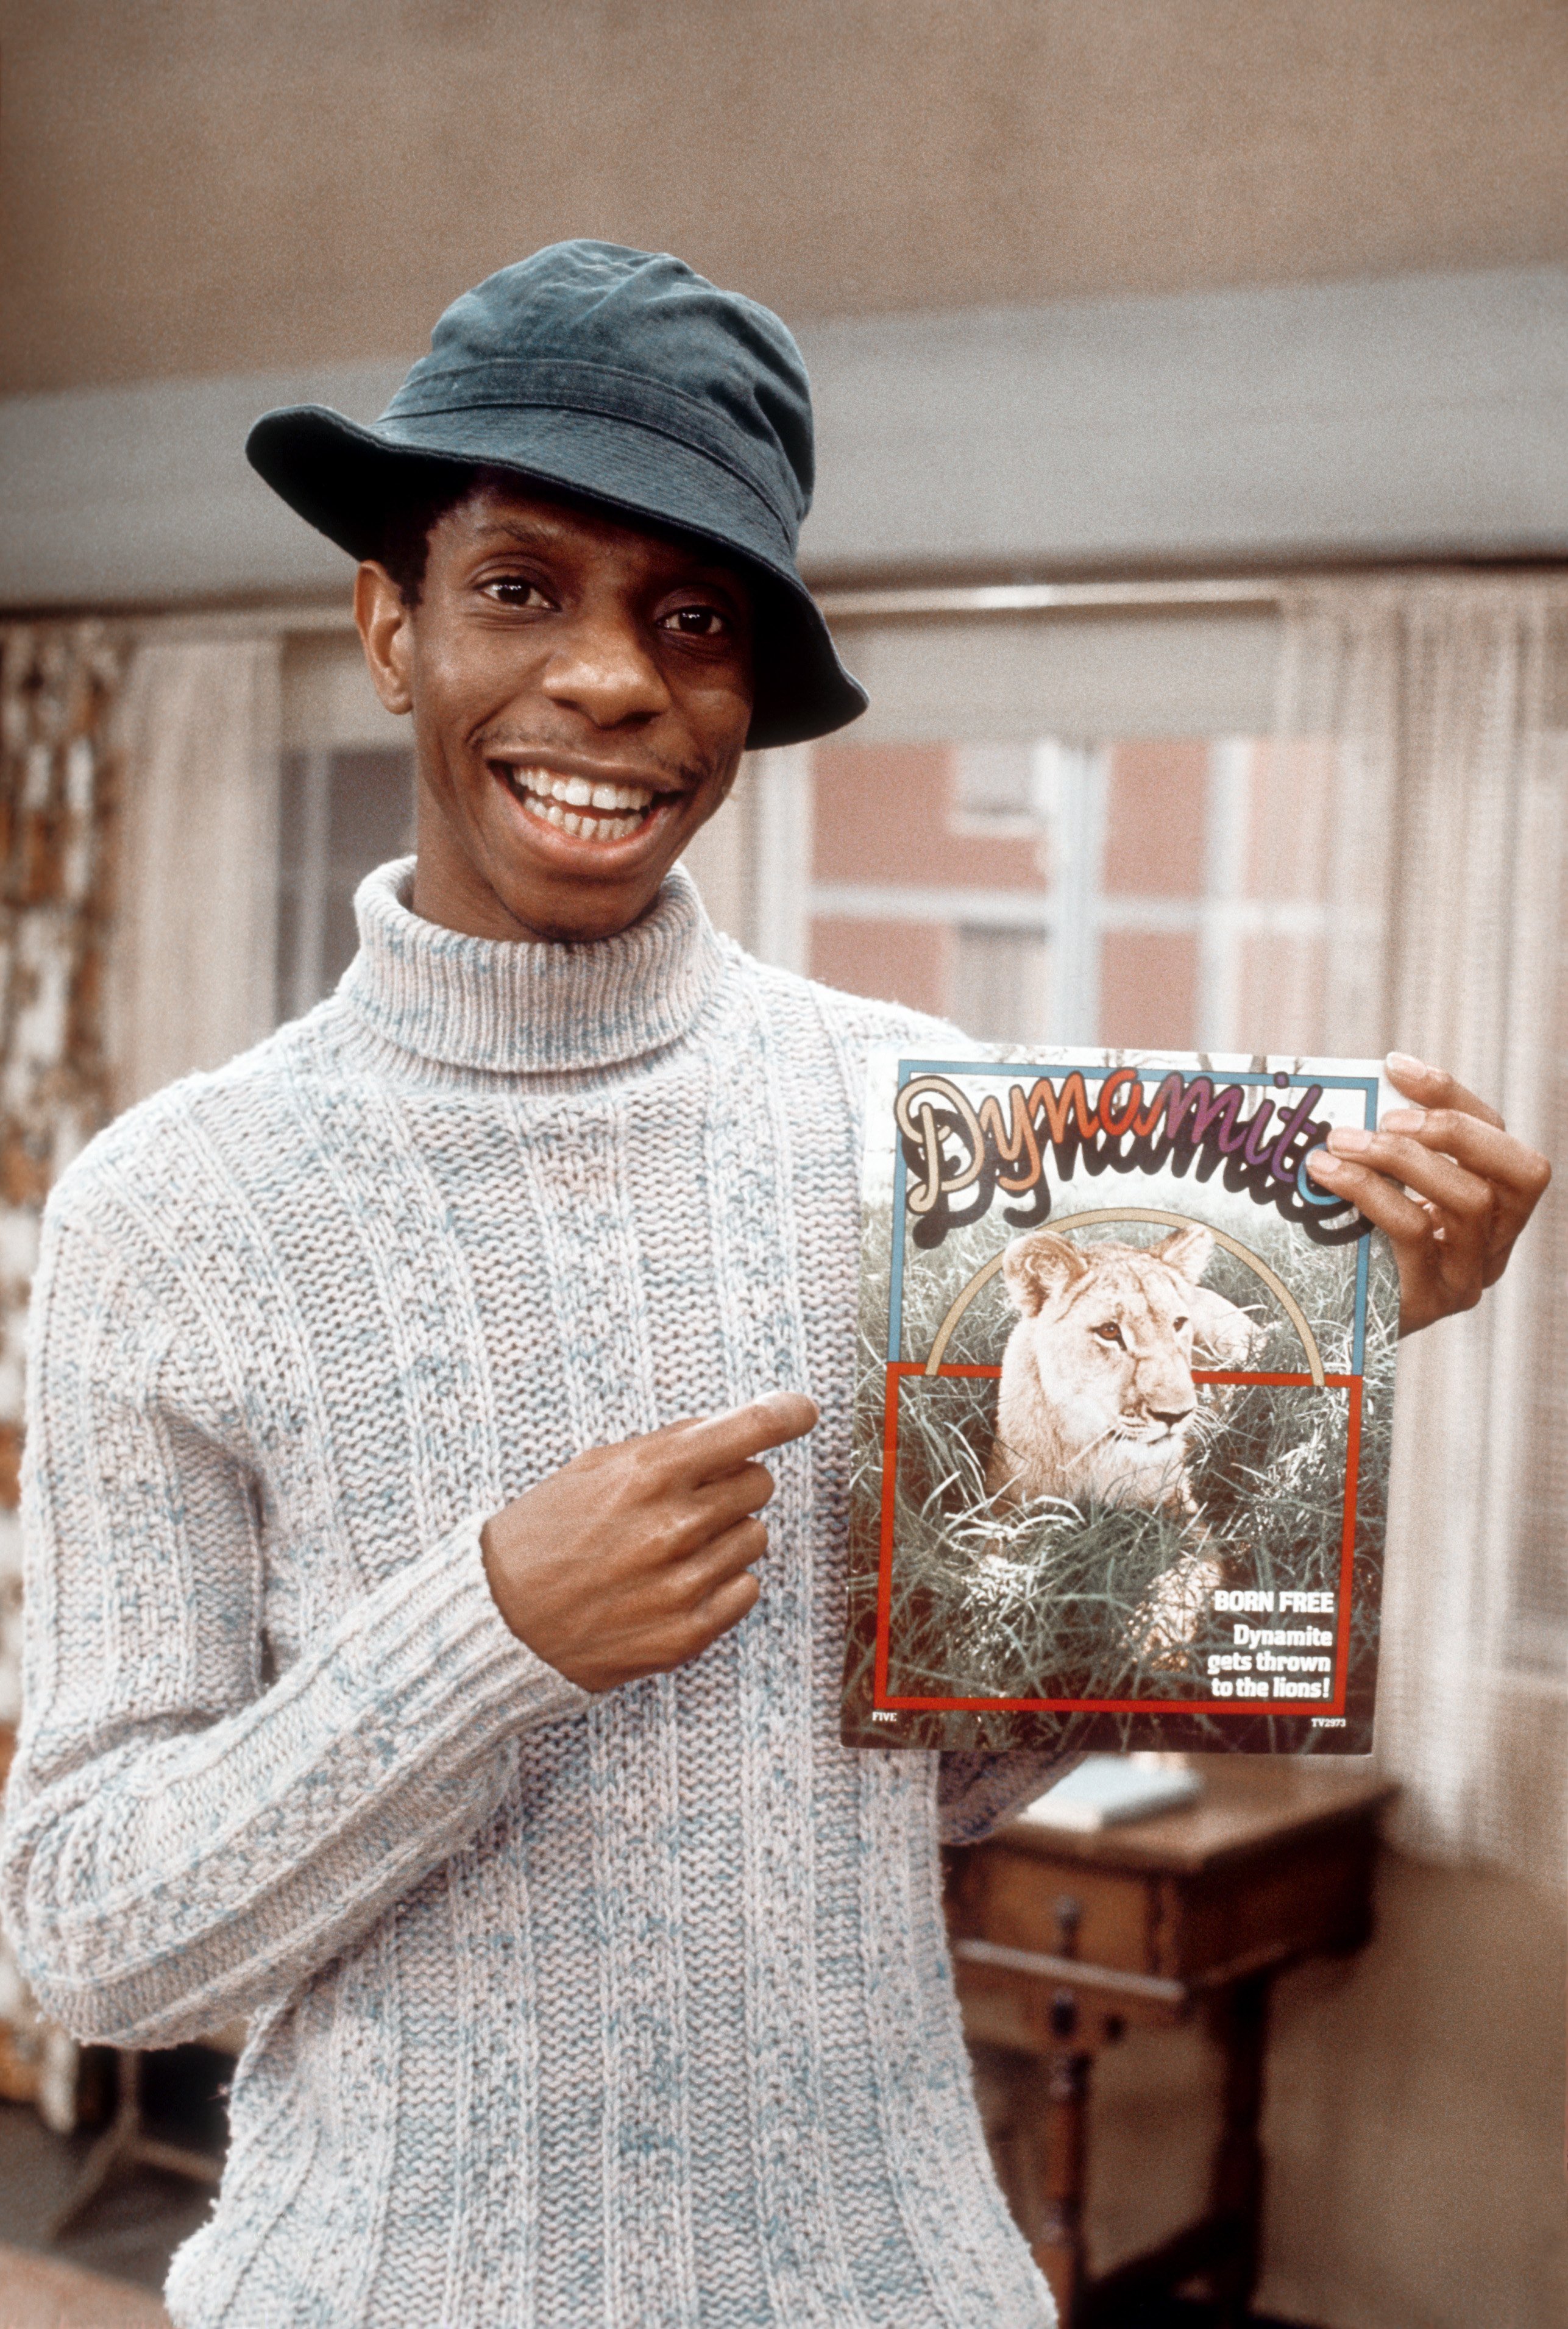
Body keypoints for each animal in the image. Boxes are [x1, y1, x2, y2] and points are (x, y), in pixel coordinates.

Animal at [839, 1048, 1397, 1751]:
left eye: (1176, 1326)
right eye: (1109, 1333)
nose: (1175, 1416)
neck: (1093, 1444)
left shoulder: (1183, 1519)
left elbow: (1181, 1580)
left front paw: (1152, 1649)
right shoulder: (1004, 1508)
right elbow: (985, 1581)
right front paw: (973, 1676)